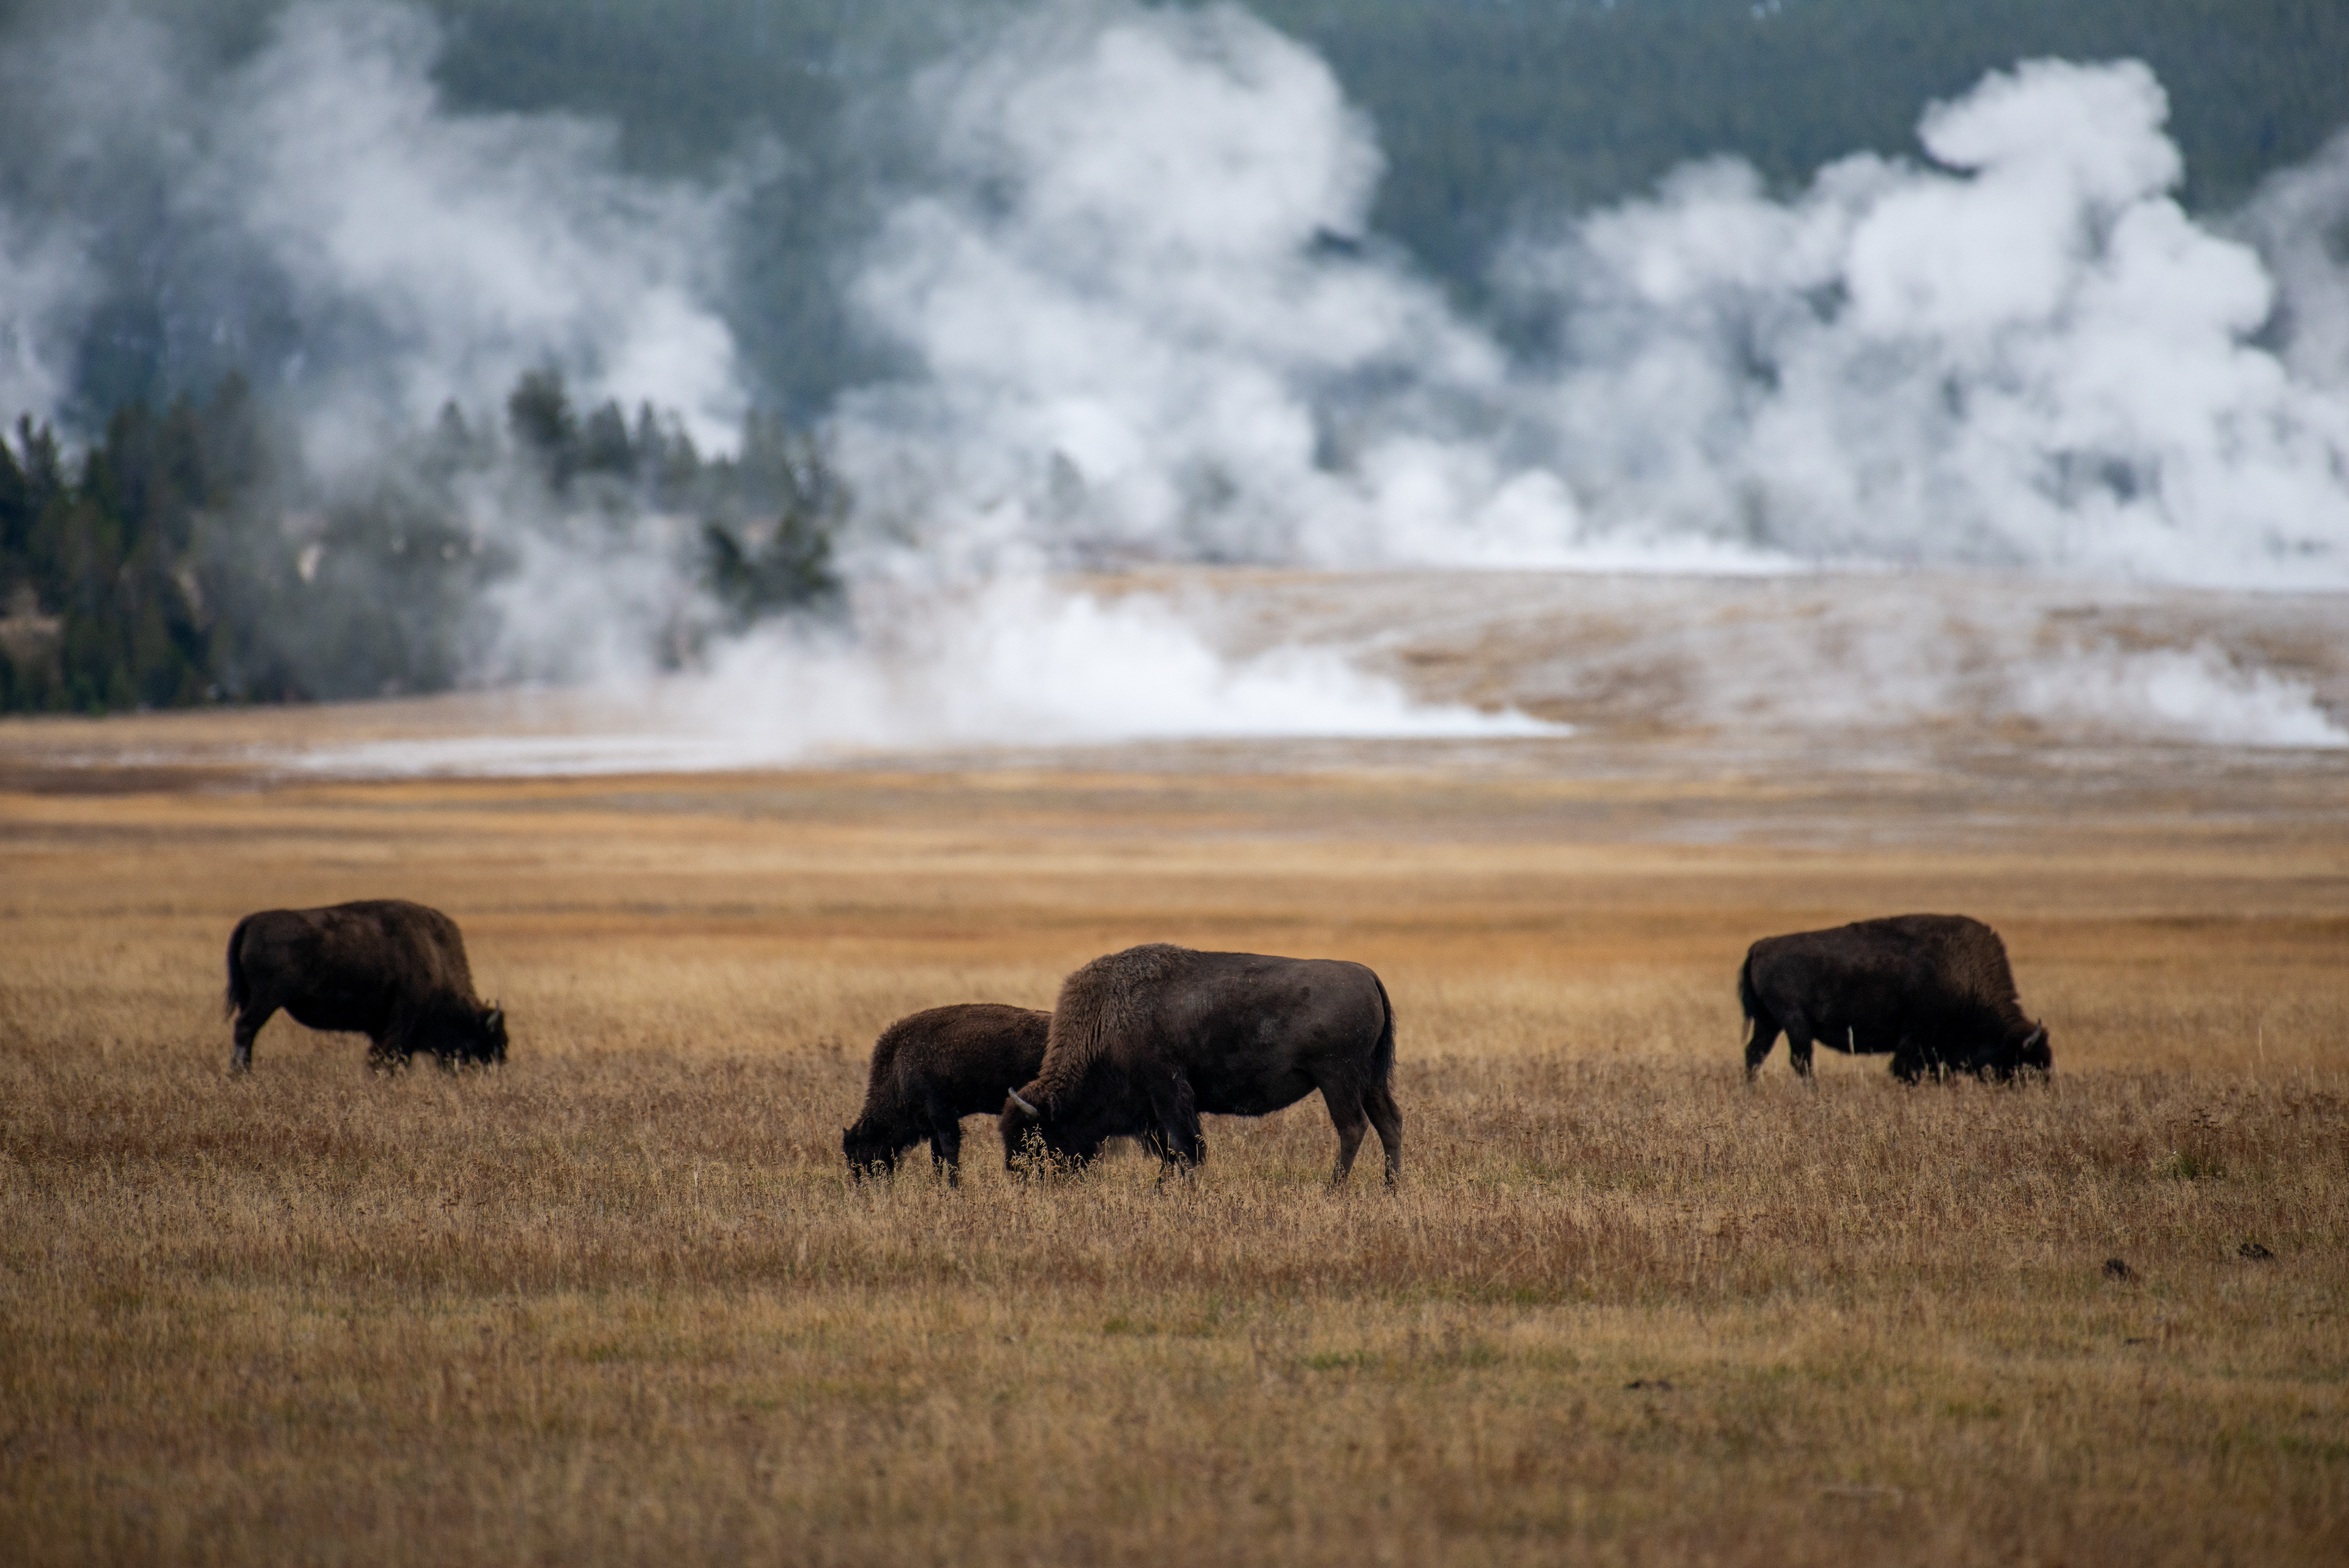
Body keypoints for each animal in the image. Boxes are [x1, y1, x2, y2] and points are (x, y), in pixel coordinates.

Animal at [225, 900, 506, 1073]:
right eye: (488, 1041)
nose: (498, 1065)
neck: (436, 956)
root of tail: (251, 922)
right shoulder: (400, 1025)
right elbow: (386, 1057)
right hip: (266, 1000)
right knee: (246, 1029)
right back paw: (242, 1074)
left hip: (253, 998)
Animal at [843, 1003, 1053, 1184]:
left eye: (857, 1152)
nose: (858, 1185)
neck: (899, 1069)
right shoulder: (935, 1124)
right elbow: (937, 1156)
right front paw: (937, 1184)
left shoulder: (944, 1117)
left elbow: (949, 1151)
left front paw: (955, 1185)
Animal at [1000, 944, 1402, 1187]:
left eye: (1034, 1138)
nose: (1020, 1177)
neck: (1108, 1018)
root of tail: (1367, 976)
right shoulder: (1159, 1109)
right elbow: (1171, 1152)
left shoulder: (1167, 1091)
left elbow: (1183, 1148)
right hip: (1371, 1081)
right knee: (1389, 1123)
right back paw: (1391, 1189)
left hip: (1338, 1078)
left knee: (1352, 1127)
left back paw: (1333, 1190)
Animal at [1739, 913, 2050, 1083]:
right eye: (2027, 1063)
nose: (2041, 1088)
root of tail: (1762, 946)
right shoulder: (1917, 1036)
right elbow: (1906, 1069)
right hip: (1794, 1023)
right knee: (1801, 1061)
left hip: (1770, 1023)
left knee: (1756, 1053)